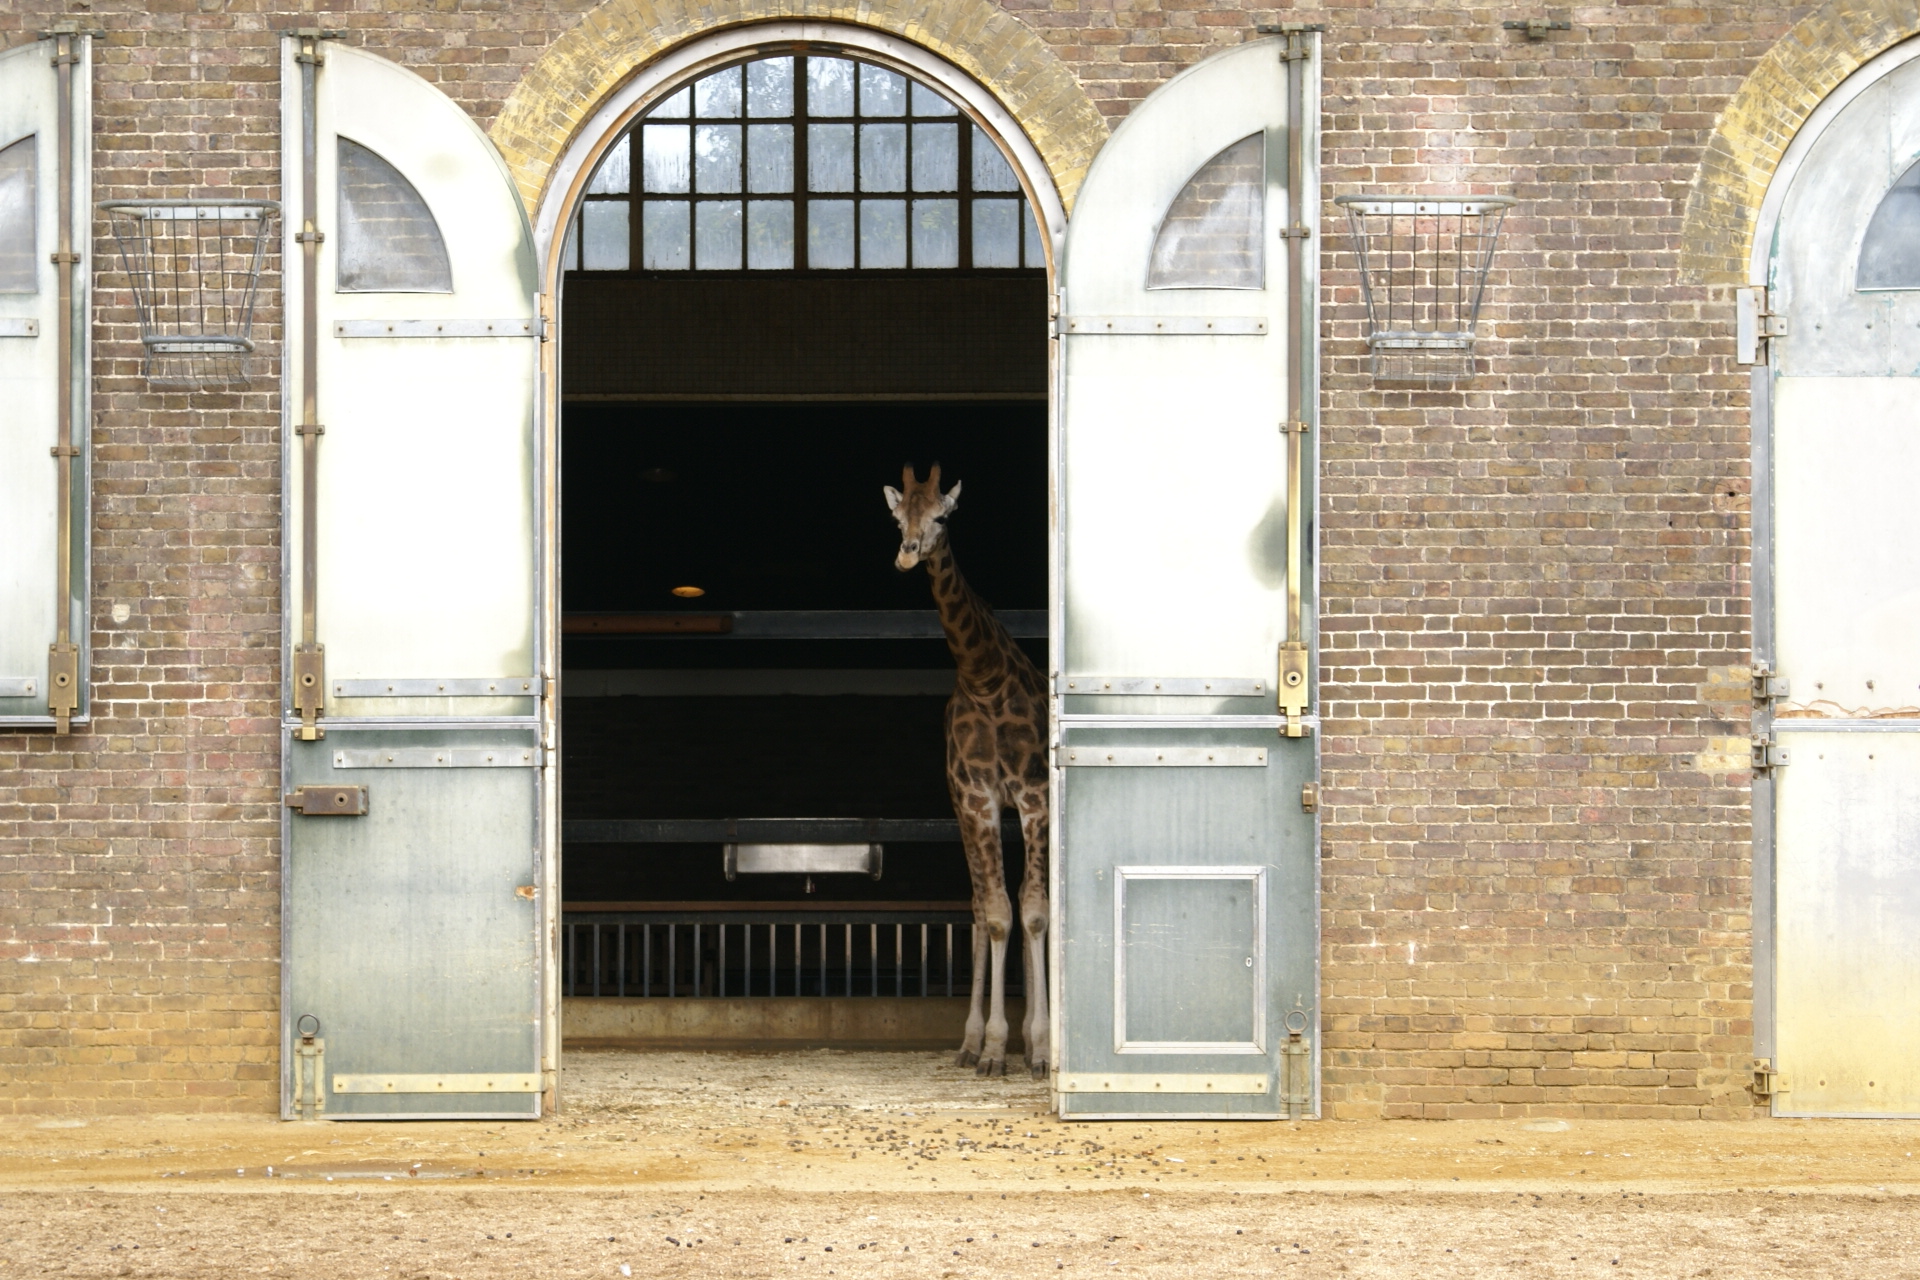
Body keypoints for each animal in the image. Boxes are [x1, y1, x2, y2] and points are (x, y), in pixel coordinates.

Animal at [884, 464, 1050, 1079]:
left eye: (943, 515)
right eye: (897, 517)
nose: (908, 555)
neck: (985, 677)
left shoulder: (1034, 796)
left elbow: (1034, 913)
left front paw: (1039, 1049)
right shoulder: (976, 799)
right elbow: (996, 915)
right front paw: (993, 1047)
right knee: (983, 906)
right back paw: (976, 1040)